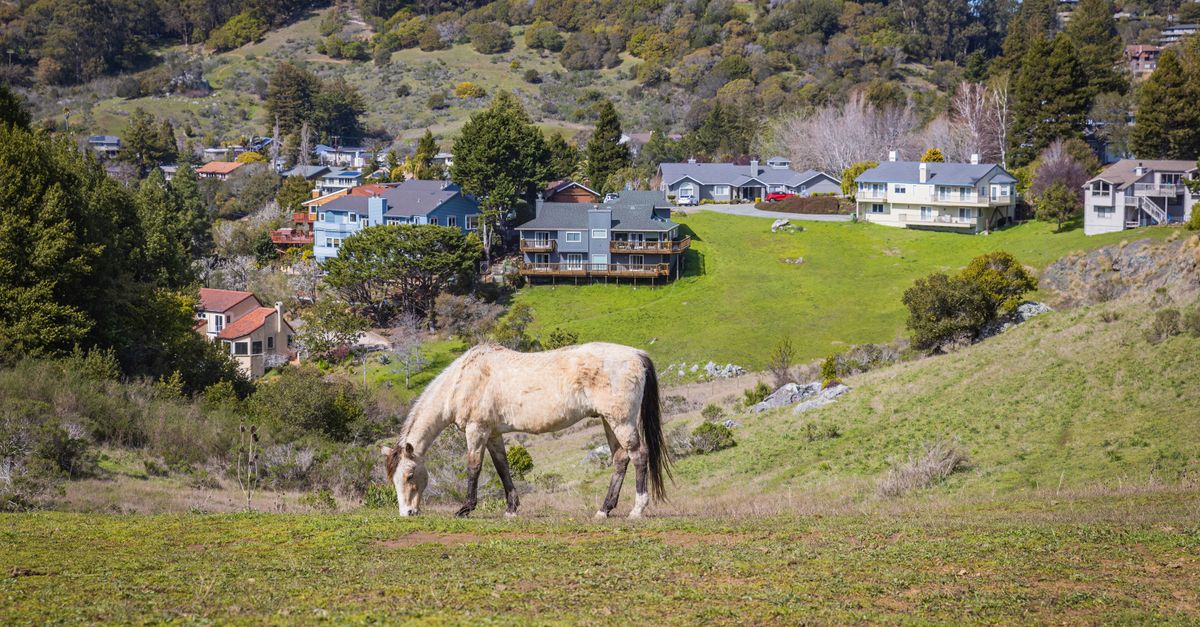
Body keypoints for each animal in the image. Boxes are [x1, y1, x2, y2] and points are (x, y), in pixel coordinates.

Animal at [380, 342, 671, 519]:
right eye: (393, 479)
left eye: (409, 475)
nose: (407, 513)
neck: (463, 380)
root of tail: (637, 355)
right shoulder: (493, 434)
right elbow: (502, 468)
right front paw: (511, 508)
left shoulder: (477, 430)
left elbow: (473, 467)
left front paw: (465, 508)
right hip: (609, 421)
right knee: (620, 459)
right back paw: (604, 510)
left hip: (621, 421)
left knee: (638, 456)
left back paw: (637, 510)